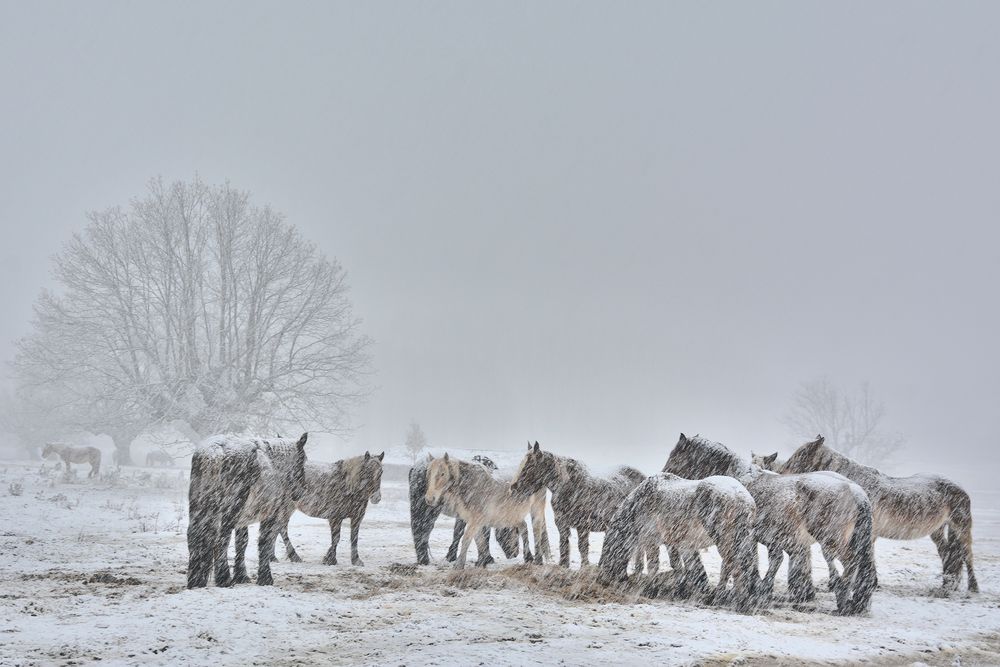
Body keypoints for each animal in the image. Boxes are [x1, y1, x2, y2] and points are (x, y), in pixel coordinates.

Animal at [420, 454, 548, 568]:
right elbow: (480, 541)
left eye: (442, 473)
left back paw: (538, 560)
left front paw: (459, 565)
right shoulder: (474, 520)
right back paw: (528, 558)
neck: (471, 485)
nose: (430, 499)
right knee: (523, 528)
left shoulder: (476, 520)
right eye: (428, 473)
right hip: (512, 515)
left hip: (535, 509)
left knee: (536, 531)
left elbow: (467, 539)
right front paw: (482, 562)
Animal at [512, 444, 644, 568]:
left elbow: (583, 546)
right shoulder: (562, 523)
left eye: (530, 465)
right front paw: (563, 565)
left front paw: (584, 566)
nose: (513, 487)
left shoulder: (583, 526)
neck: (571, 487)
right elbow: (564, 544)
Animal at [592, 472, 756, 612]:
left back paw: (736, 601)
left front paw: (649, 588)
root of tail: (741, 496)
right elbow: (676, 565)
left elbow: (653, 565)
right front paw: (679, 589)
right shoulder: (673, 542)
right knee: (732, 565)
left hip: (725, 540)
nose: (602, 580)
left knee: (733, 565)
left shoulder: (651, 539)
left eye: (608, 549)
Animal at [756, 438, 976, 596]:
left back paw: (972, 587)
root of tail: (960, 487)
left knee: (967, 555)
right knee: (947, 554)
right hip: (938, 531)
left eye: (802, 454)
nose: (779, 472)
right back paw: (948, 584)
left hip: (961, 527)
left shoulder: (865, 533)